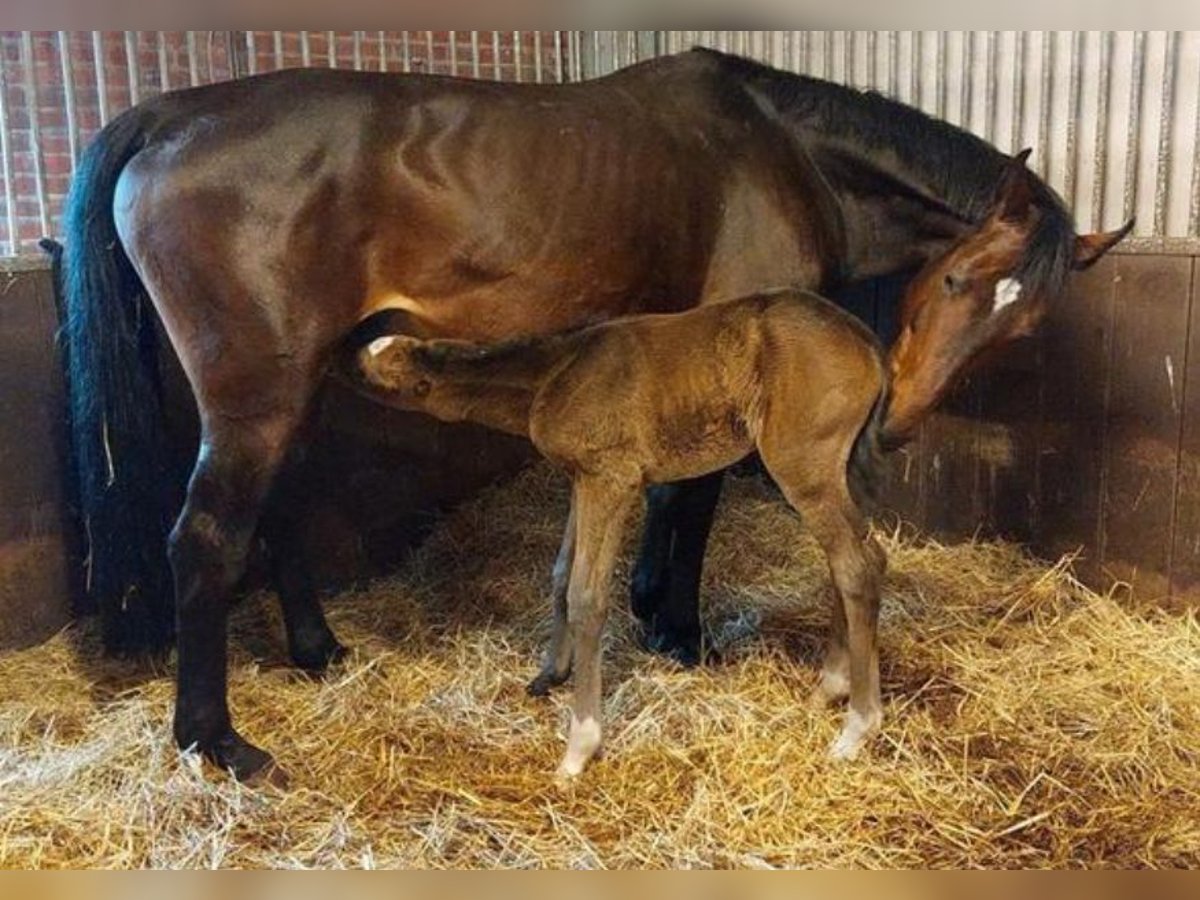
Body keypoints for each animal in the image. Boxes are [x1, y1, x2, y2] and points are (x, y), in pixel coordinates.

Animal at [350, 290, 888, 782]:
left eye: (384, 374)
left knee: (857, 565)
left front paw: (579, 749)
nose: (351, 353)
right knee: (860, 559)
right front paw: (550, 673)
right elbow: (560, 573)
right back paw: (830, 687)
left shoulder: (611, 480)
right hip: (837, 469)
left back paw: (857, 727)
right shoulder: (580, 479)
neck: (555, 372)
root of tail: (869, 344)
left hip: (802, 465)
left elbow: (587, 597)